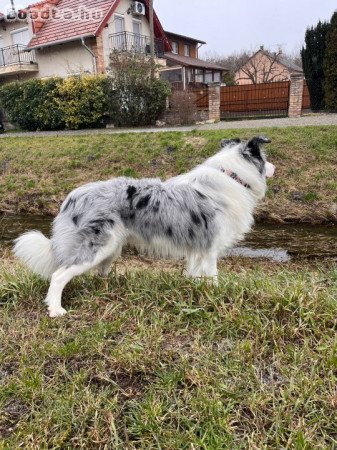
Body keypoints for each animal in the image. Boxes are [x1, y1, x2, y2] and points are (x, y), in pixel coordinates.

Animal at [14, 134, 274, 316]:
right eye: (265, 157)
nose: (274, 167)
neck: (232, 177)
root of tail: (72, 197)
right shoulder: (209, 248)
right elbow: (213, 278)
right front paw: (215, 298)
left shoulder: (196, 249)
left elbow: (194, 275)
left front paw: (194, 294)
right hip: (96, 246)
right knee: (58, 275)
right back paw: (55, 310)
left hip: (111, 248)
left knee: (99, 273)